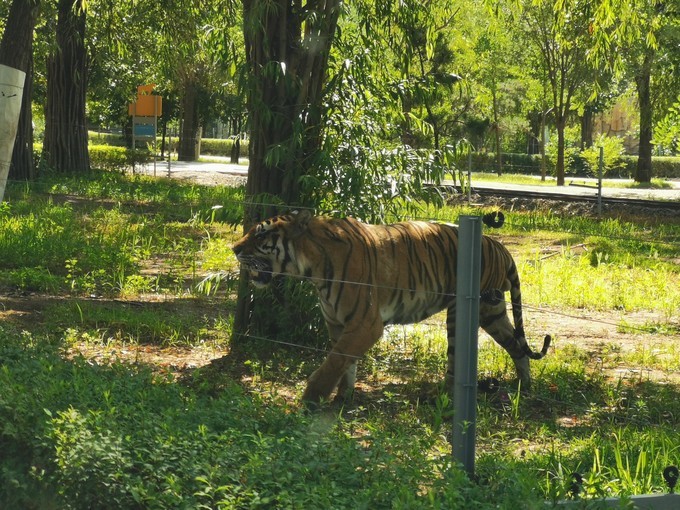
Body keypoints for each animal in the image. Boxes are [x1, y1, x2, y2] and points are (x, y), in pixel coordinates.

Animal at [231, 209, 548, 404]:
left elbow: (333, 362)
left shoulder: (365, 324)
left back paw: (443, 395)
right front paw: (343, 398)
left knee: (460, 359)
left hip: (466, 313)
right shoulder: (338, 324)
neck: (312, 268)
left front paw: (311, 399)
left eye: (260, 234)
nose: (234, 249)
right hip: (491, 312)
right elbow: (344, 363)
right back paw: (524, 386)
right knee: (517, 346)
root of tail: (499, 245)